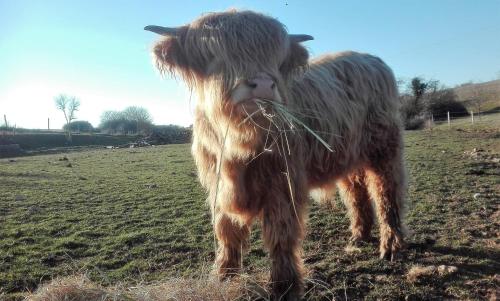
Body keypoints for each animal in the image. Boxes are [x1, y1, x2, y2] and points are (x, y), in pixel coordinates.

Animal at [145, 9, 406, 300]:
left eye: (275, 57)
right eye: (214, 52)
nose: (263, 85)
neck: (240, 144)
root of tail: (370, 58)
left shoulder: (283, 185)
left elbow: (281, 236)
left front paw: (284, 286)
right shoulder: (217, 184)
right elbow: (227, 231)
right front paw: (224, 276)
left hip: (384, 149)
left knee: (387, 193)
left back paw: (391, 246)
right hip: (347, 154)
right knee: (356, 191)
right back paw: (359, 235)